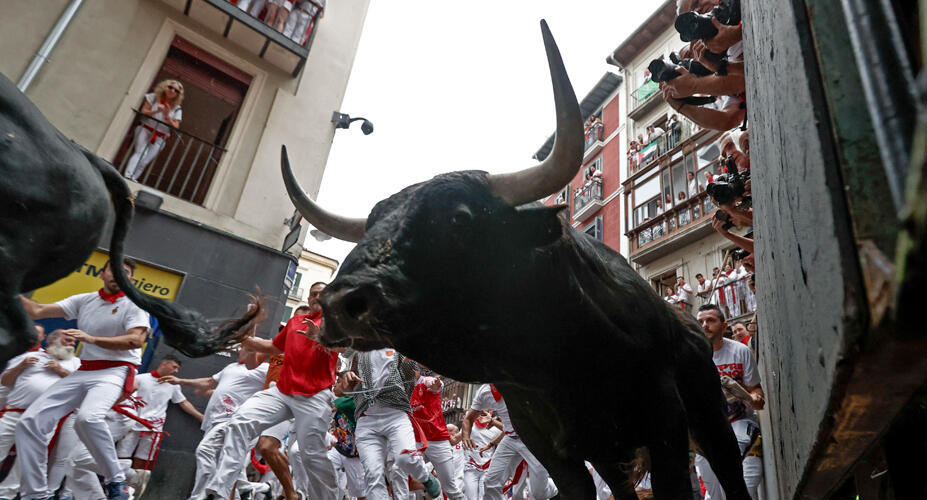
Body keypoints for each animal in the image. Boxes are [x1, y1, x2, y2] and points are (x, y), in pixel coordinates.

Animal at [282, 19, 752, 500]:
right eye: (373, 226)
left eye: (459, 217)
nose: (339, 302)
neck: (557, 357)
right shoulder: (553, 446)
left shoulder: (664, 425)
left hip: (710, 418)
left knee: (730, 470)